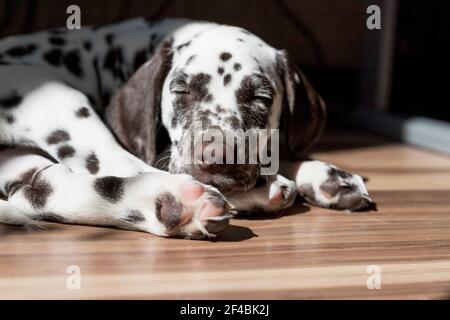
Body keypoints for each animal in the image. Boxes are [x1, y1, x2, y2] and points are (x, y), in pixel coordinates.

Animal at [0, 16, 376, 238]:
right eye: (181, 90)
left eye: (261, 98)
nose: (218, 156)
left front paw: (325, 174)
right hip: (52, 94)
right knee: (119, 165)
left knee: (41, 189)